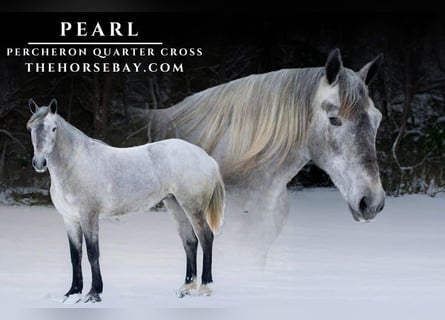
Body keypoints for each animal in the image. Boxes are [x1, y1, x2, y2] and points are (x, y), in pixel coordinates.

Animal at [26, 99, 224, 302]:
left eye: (53, 128)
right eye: (31, 128)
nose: (39, 163)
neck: (75, 164)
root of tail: (206, 157)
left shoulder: (89, 216)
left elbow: (92, 253)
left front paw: (94, 293)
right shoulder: (70, 219)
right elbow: (75, 255)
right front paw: (72, 292)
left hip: (193, 207)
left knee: (206, 238)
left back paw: (206, 287)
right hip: (175, 205)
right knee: (190, 242)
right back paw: (186, 287)